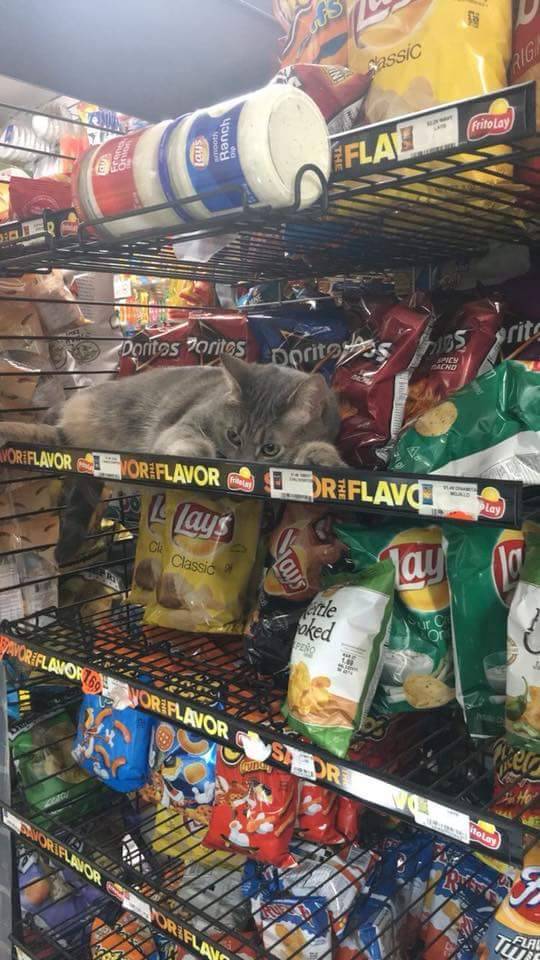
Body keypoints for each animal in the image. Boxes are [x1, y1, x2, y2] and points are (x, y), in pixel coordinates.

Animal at [0, 356, 344, 563]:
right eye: (233, 436)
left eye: (270, 449)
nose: (243, 463)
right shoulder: (184, 425)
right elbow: (192, 442)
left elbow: (317, 450)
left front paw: (324, 459)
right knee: (44, 431)